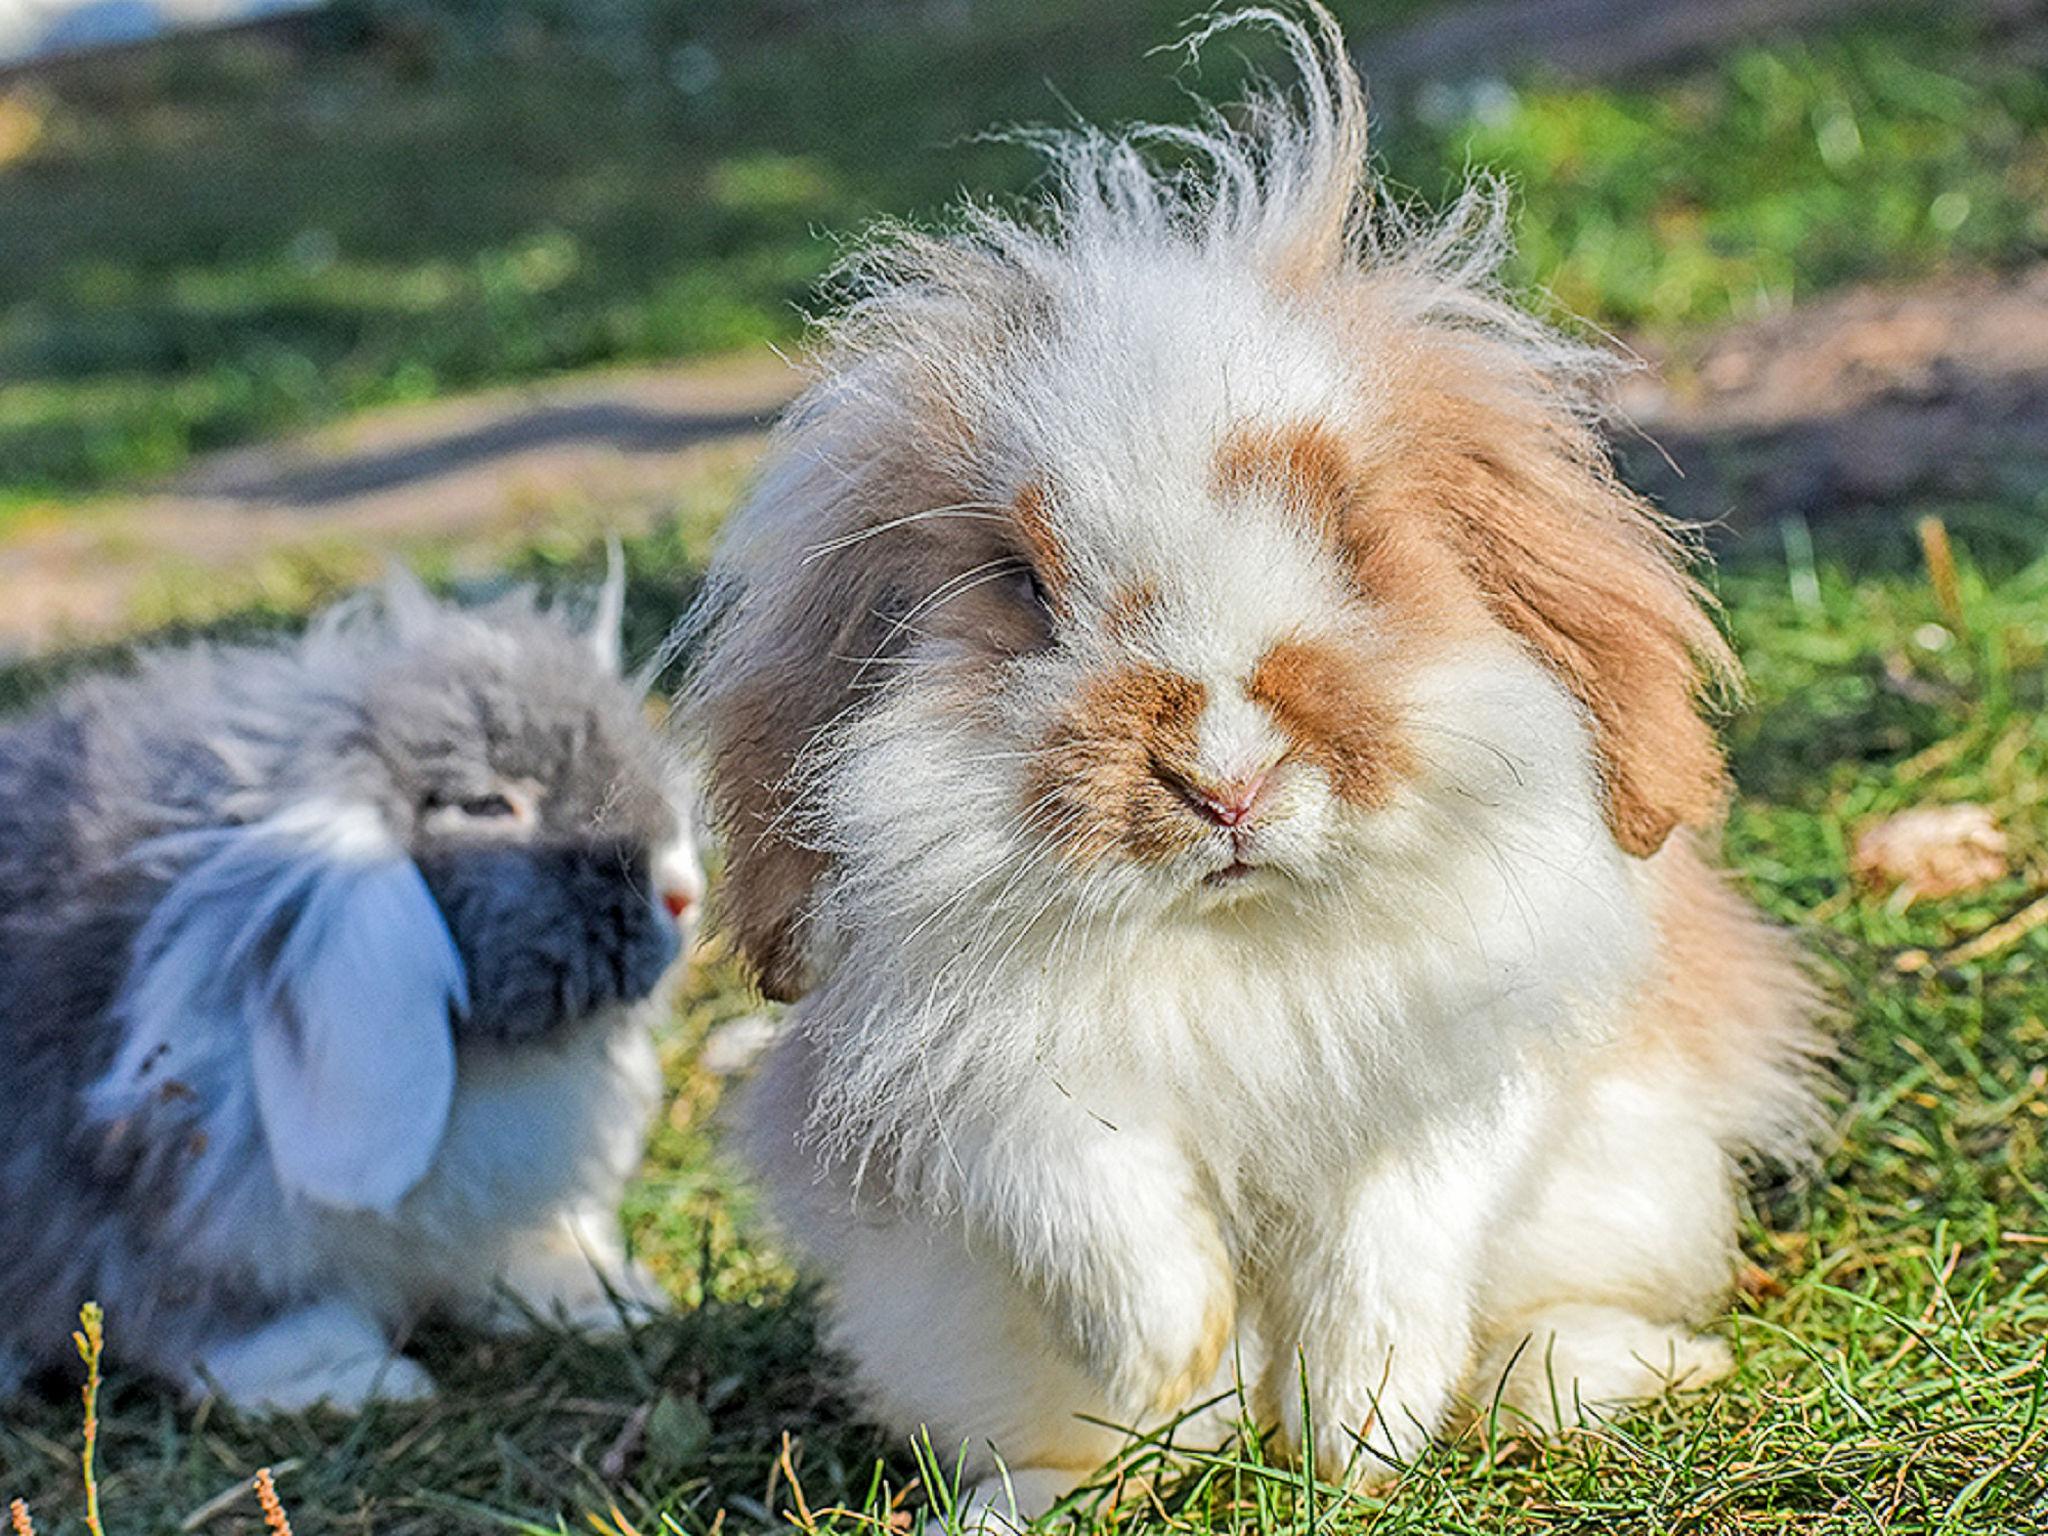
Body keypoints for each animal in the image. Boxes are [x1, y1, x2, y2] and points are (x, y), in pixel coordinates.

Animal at [0, 569, 704, 1417]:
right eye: (487, 804)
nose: (681, 890)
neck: (485, 1067)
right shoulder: (166, 1219)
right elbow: (247, 1322)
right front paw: (363, 1381)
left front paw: (606, 1299)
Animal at [692, 6, 1826, 1531]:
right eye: (1019, 582)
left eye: (1351, 531)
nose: (1223, 781)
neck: (1239, 929)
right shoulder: (980, 1089)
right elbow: (1099, 1208)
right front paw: (1181, 1367)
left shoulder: (1481, 1049)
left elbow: (1395, 1229)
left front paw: (1356, 1428)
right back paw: (1051, 1490)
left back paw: (1603, 1373)